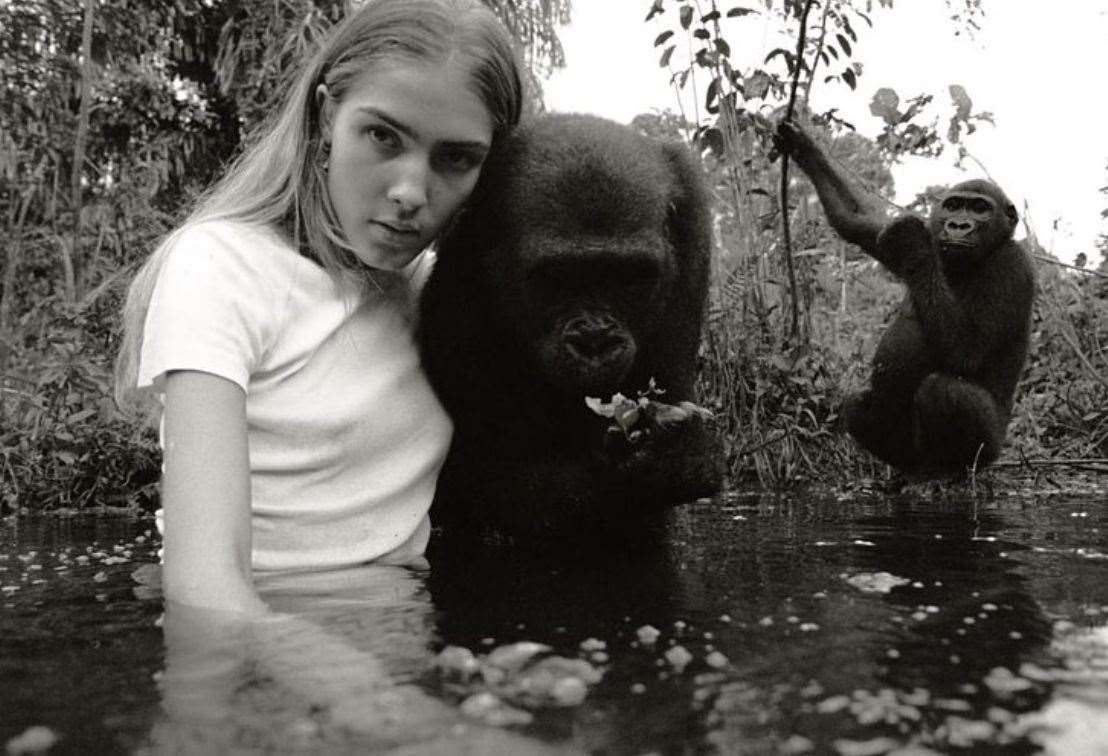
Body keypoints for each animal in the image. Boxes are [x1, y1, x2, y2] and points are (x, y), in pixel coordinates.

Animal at [418, 111, 722, 536]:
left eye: (628, 277)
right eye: (556, 277)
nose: (595, 339)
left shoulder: (691, 239)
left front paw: (682, 454)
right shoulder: (456, 289)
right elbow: (494, 484)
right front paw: (660, 467)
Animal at [775, 119, 1032, 474]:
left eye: (980, 209)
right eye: (953, 205)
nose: (958, 225)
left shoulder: (1011, 266)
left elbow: (967, 351)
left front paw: (915, 243)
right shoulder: (905, 233)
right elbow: (856, 218)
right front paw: (802, 144)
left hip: (990, 451)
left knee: (944, 389)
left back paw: (949, 470)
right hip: (911, 450)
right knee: (858, 403)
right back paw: (908, 469)